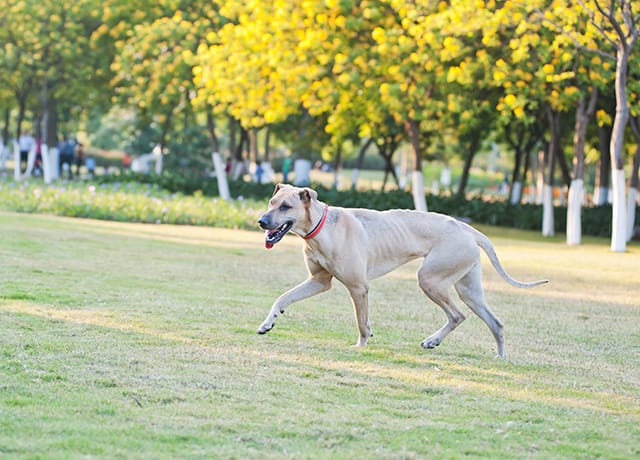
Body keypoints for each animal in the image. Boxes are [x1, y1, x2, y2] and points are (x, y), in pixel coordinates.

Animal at [255, 184, 544, 360]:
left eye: (285, 207)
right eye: (271, 201)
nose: (261, 221)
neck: (322, 226)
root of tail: (467, 228)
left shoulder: (358, 288)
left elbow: (361, 323)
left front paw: (360, 346)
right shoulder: (319, 281)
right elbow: (282, 298)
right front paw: (268, 322)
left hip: (430, 279)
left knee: (457, 315)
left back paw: (433, 341)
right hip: (468, 288)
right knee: (495, 322)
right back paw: (499, 356)